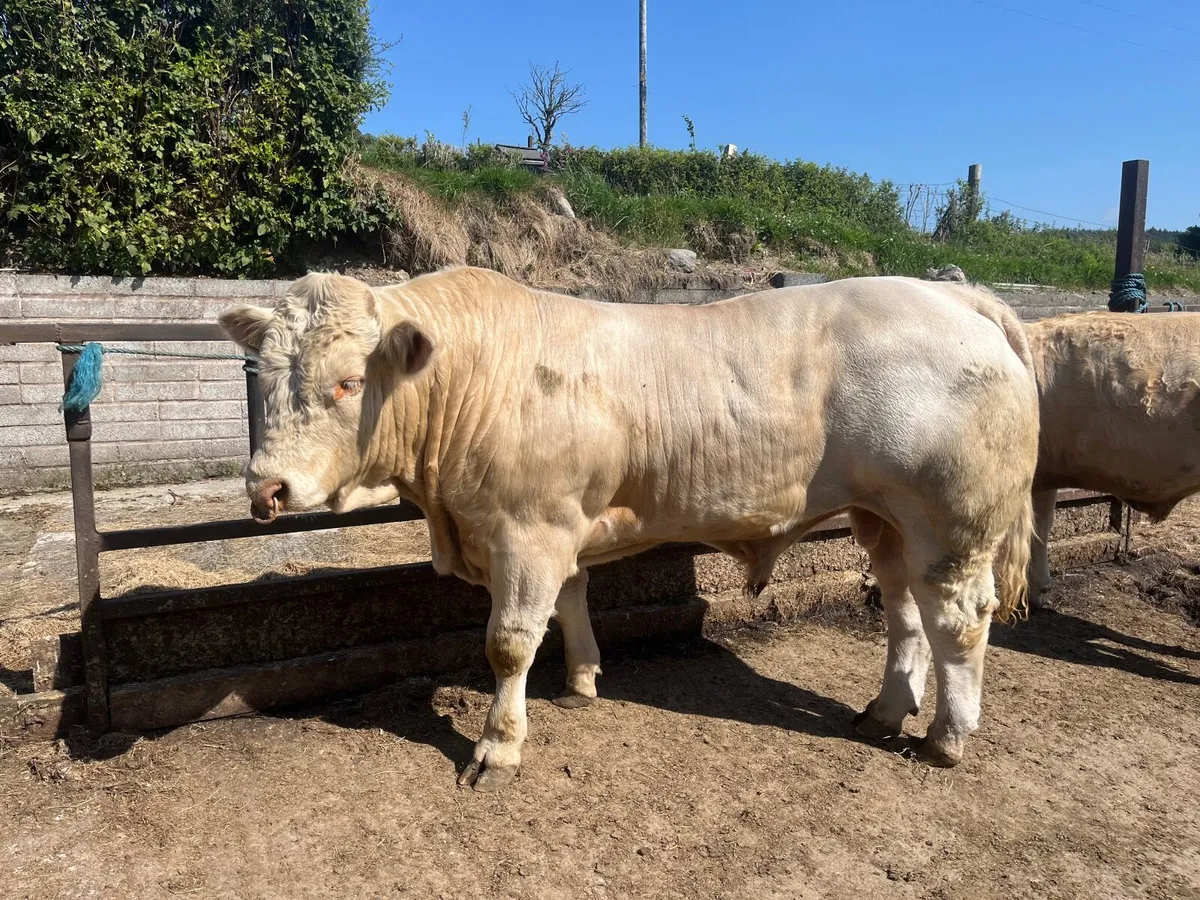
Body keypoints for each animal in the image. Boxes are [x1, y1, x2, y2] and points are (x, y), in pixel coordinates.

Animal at [219, 267, 1039, 791]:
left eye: (349, 381)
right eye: (264, 373)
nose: (267, 487)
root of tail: (952, 294)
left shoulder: (529, 530)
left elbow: (509, 641)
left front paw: (498, 746)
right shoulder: (558, 527)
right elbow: (572, 599)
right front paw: (582, 679)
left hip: (951, 523)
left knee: (957, 621)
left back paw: (947, 737)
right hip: (886, 519)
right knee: (905, 614)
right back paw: (886, 711)